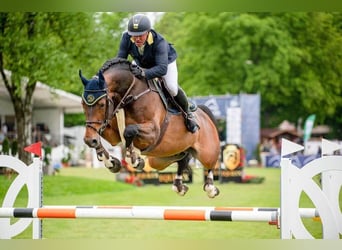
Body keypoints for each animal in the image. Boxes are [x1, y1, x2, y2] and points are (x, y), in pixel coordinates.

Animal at [80, 56, 220, 197]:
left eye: (102, 104)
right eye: (83, 104)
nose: (89, 140)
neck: (132, 95)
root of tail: (204, 114)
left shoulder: (153, 133)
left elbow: (129, 131)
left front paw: (134, 159)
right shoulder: (113, 134)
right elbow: (105, 134)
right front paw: (111, 162)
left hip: (207, 152)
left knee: (210, 164)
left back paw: (211, 188)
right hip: (161, 159)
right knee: (183, 158)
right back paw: (179, 186)